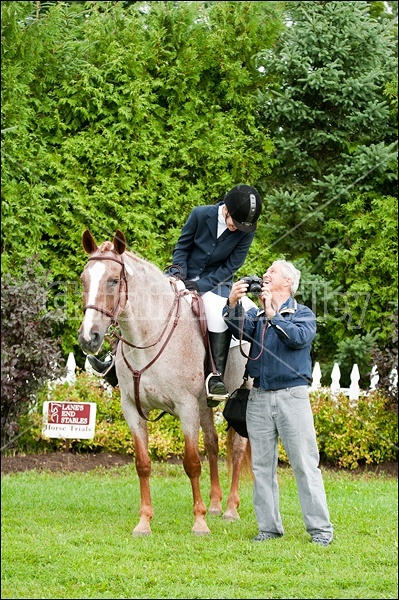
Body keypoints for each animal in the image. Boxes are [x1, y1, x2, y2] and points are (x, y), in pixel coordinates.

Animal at [78, 229, 253, 536]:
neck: (148, 336)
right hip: (204, 407)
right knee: (213, 443)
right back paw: (216, 504)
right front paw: (144, 522)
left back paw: (231, 509)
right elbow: (143, 464)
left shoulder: (186, 408)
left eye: (113, 280)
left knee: (237, 448)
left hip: (241, 396)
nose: (89, 338)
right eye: (83, 279)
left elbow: (192, 463)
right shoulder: (132, 409)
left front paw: (199, 522)